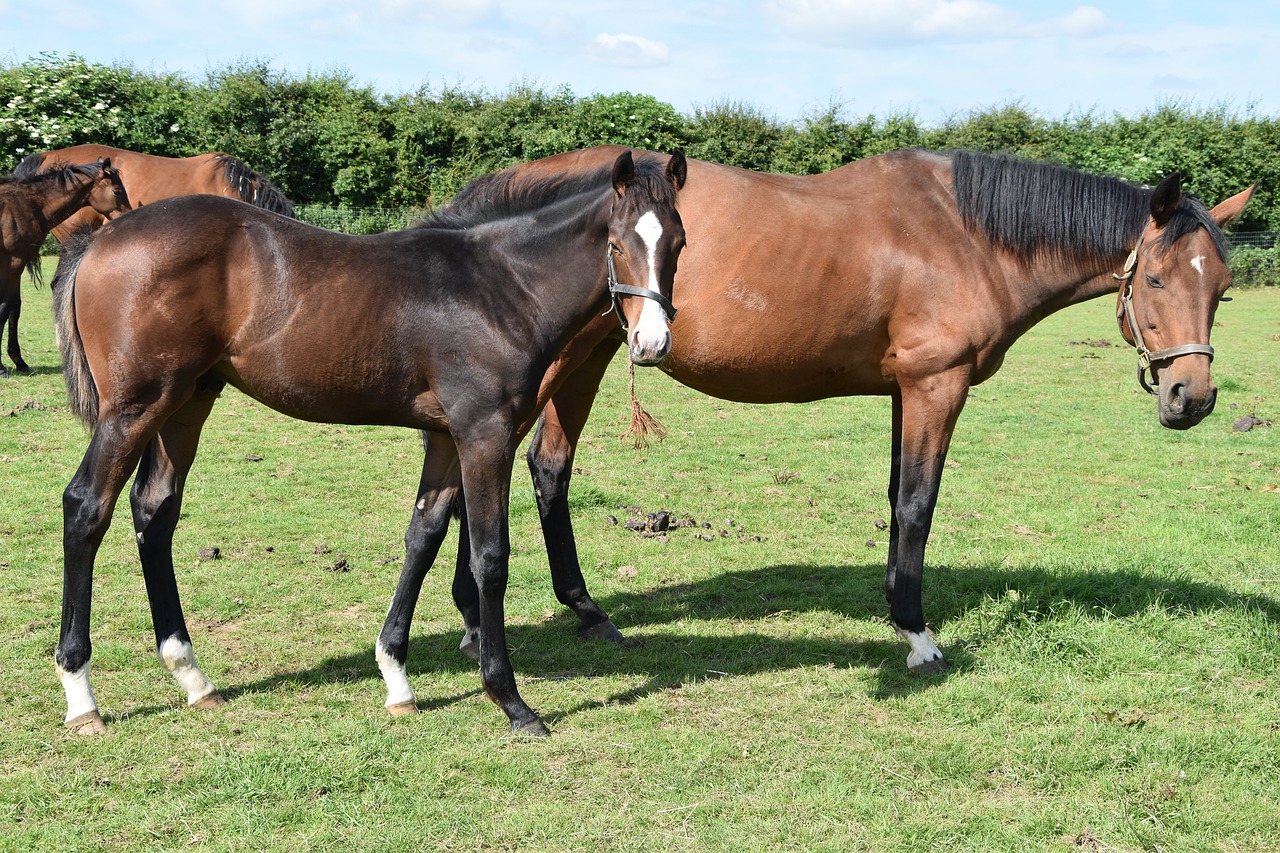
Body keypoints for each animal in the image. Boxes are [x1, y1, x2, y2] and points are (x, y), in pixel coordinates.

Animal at [0, 156, 129, 376]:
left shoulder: (16, 265)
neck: (26, 205)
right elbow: (4, 308)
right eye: (117, 191)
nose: (129, 215)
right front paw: (1, 367)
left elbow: (14, 308)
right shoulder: (11, 263)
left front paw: (19, 360)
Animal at [49, 146, 691, 732]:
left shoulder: (446, 437)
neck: (501, 286)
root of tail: (100, 241)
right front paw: (509, 699)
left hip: (186, 402)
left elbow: (423, 536)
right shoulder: (485, 434)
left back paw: (192, 677)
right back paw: (81, 695)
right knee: (86, 506)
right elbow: (490, 556)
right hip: (134, 408)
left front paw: (396, 677)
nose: (651, 344)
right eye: (616, 244)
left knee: (153, 510)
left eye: (679, 244)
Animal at [440, 146, 1249, 676]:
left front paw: (898, 610)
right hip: (567, 362)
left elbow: (897, 499)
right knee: (528, 469)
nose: (1192, 397)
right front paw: (918, 636)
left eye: (1222, 287)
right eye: (1154, 278)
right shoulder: (936, 385)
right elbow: (919, 504)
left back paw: (513, 618)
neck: (963, 234)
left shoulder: (905, 390)